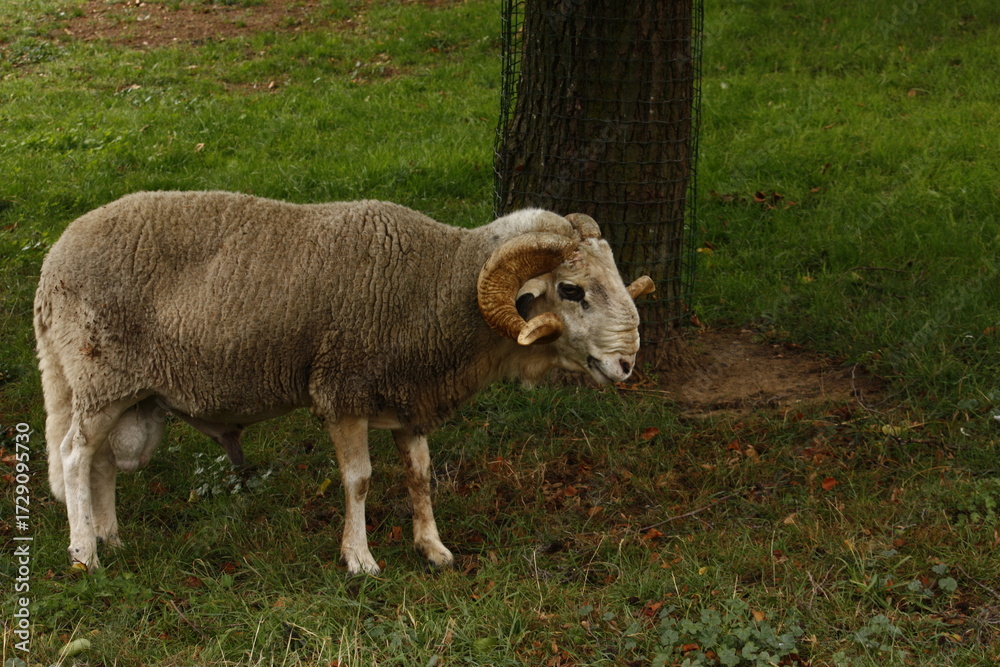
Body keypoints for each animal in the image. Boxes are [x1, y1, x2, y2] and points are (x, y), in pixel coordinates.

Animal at [34, 190, 654, 575]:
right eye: (572, 290)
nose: (627, 364)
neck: (436, 284)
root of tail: (52, 262)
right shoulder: (342, 391)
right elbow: (359, 481)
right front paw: (360, 559)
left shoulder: (410, 398)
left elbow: (420, 476)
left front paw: (433, 548)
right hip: (97, 377)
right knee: (73, 457)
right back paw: (85, 554)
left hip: (123, 395)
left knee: (102, 463)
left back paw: (110, 537)